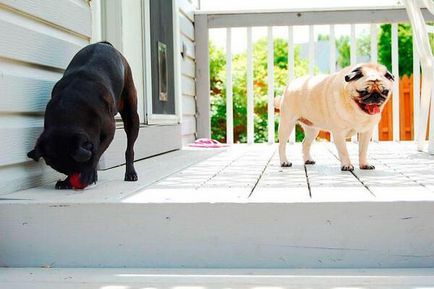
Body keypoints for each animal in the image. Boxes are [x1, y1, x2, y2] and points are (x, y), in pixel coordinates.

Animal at [27, 41, 138, 189]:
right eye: (66, 171)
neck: (67, 112)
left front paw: (89, 175)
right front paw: (67, 181)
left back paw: (130, 172)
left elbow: (97, 152)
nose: (76, 178)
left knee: (129, 148)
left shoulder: (108, 133)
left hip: (132, 116)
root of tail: (103, 43)